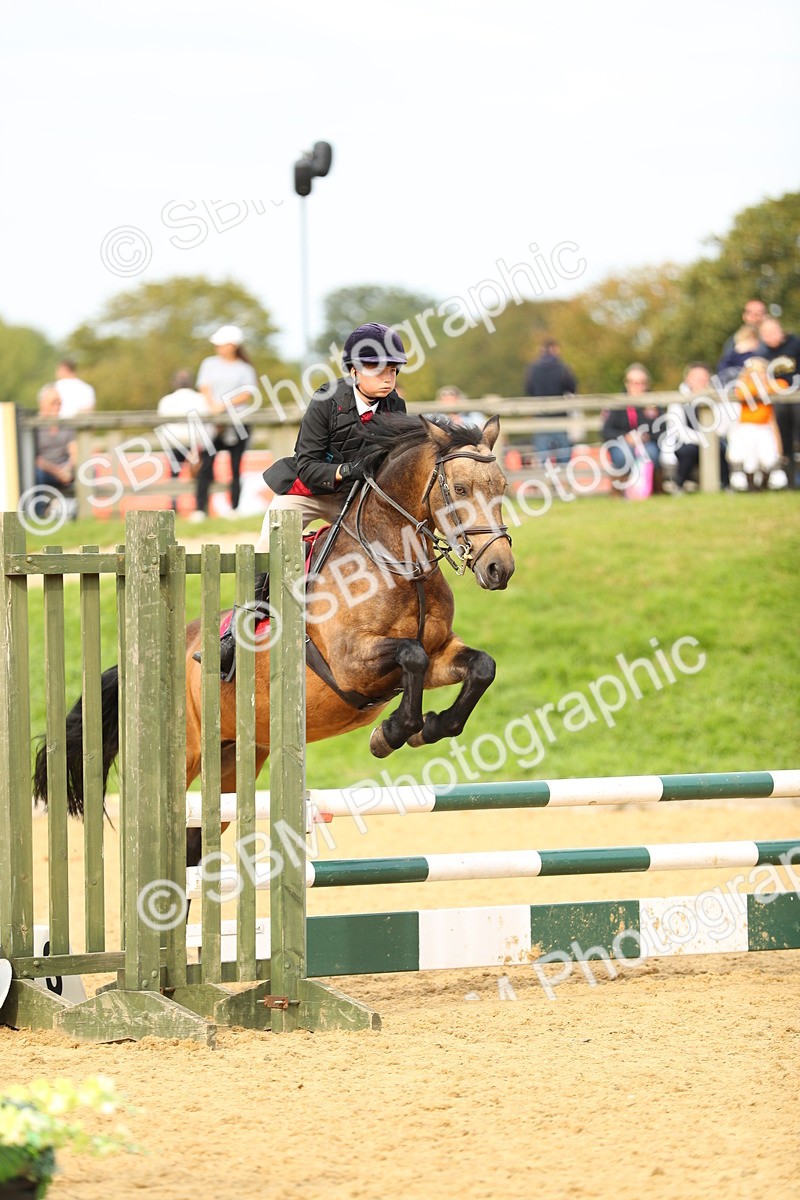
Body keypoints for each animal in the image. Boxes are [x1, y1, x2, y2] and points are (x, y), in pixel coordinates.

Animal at [32, 413, 515, 868]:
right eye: (459, 487)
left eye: (503, 486)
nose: (500, 568)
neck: (396, 563)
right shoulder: (351, 664)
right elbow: (411, 657)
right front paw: (391, 733)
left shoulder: (438, 654)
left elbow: (481, 667)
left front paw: (430, 727)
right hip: (184, 756)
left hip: (232, 763)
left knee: (193, 846)